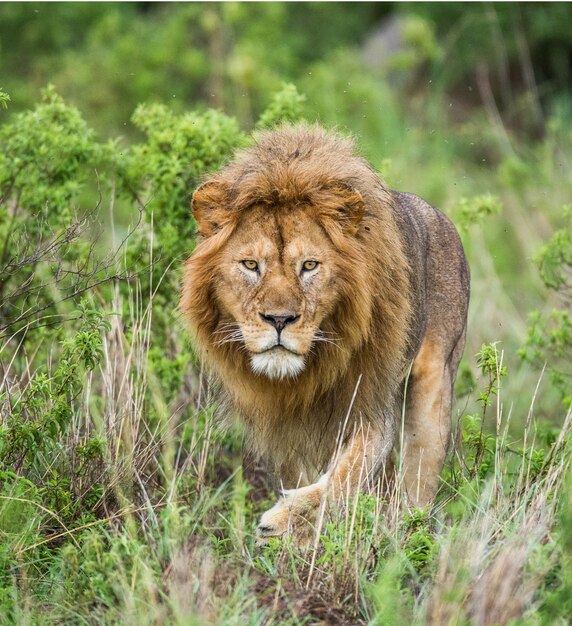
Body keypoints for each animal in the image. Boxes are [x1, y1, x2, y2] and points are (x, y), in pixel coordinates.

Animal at [182, 123, 470, 540]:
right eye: (250, 265)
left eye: (310, 265)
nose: (279, 319)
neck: (309, 373)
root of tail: (440, 216)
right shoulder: (286, 428)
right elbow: (310, 476)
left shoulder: (371, 406)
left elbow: (343, 476)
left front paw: (281, 521)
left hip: (434, 392)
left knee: (417, 483)